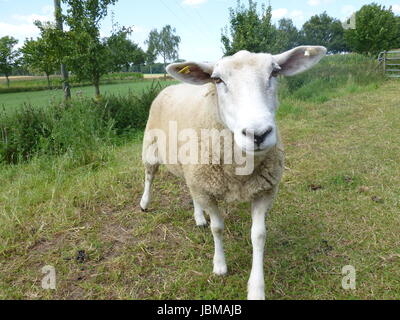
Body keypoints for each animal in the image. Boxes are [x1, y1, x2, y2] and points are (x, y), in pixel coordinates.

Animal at [139, 45, 326, 300]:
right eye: (217, 79)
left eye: (274, 73)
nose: (258, 134)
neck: (239, 172)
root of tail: (171, 86)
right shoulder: (207, 189)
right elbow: (217, 228)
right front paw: (220, 265)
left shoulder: (264, 191)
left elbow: (258, 235)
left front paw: (256, 288)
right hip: (151, 147)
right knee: (149, 175)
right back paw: (145, 202)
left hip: (191, 170)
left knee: (190, 191)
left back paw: (198, 216)